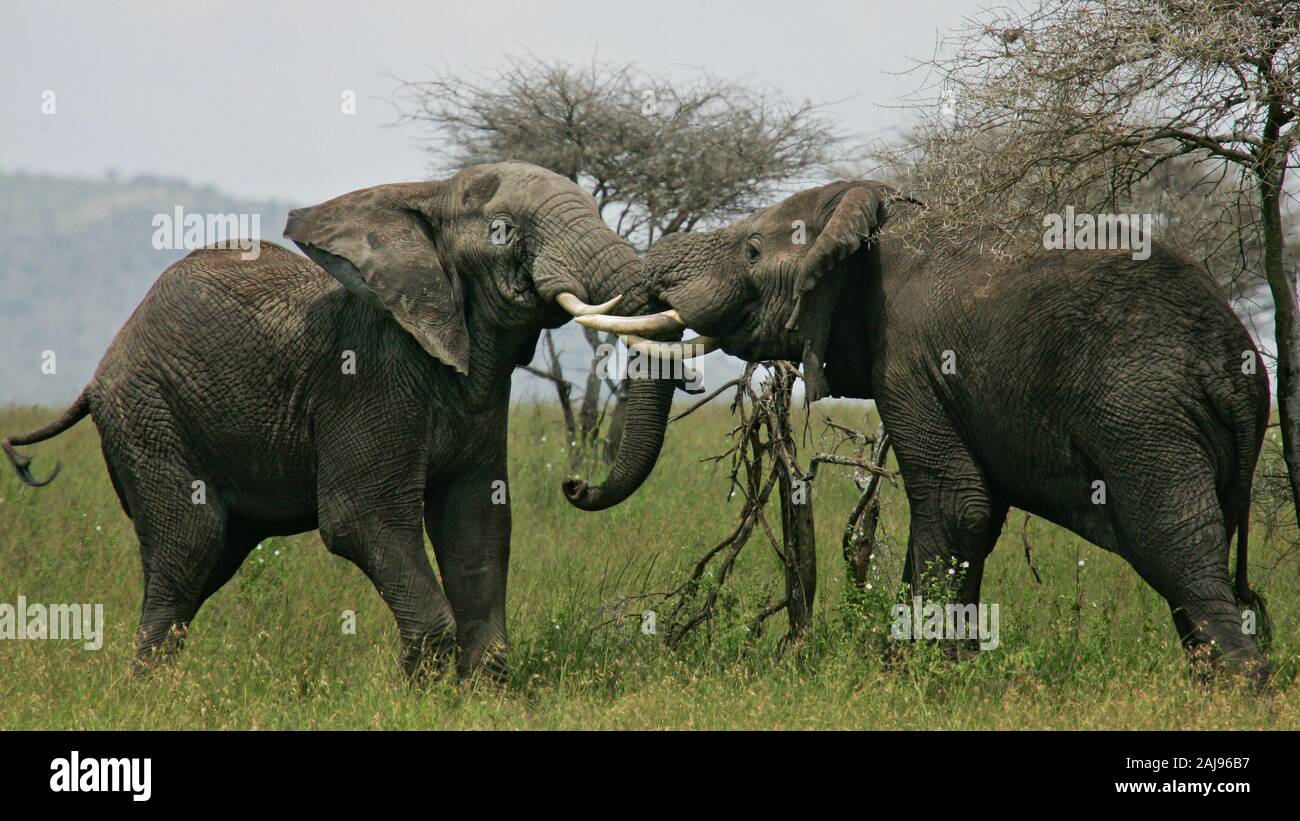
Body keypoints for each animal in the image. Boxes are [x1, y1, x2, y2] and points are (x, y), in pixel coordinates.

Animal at [0, 160, 670, 680]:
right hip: (148, 410)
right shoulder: (368, 375)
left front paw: (481, 695)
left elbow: (477, 523)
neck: (430, 192)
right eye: (504, 230)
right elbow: (361, 518)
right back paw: (149, 694)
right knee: (189, 545)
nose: (575, 484)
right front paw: (423, 699)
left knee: (208, 561)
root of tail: (100, 370)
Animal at [585, 179, 1274, 680]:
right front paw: (944, 669)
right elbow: (975, 515)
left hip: (1143, 418)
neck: (867, 212)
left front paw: (910, 675)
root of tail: (1236, 365)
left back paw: (1237, 690)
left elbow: (956, 504)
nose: (574, 487)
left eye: (752, 252)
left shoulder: (911, 359)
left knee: (1172, 542)